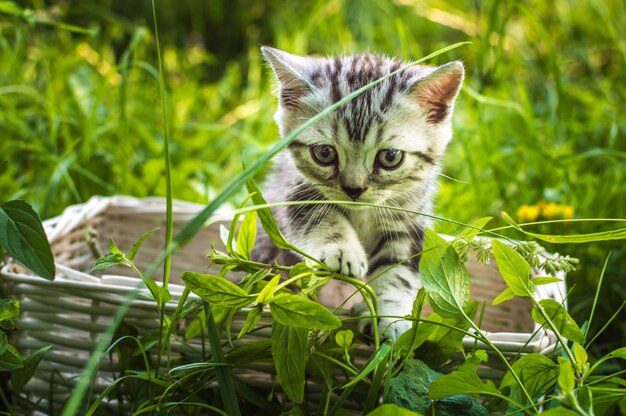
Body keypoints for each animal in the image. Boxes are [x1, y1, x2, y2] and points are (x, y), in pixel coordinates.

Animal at [251, 46, 460, 338]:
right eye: (324, 153)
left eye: (390, 157)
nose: (354, 189)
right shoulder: (293, 192)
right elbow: (320, 217)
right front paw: (342, 250)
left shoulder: (409, 221)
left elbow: (397, 273)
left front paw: (391, 316)